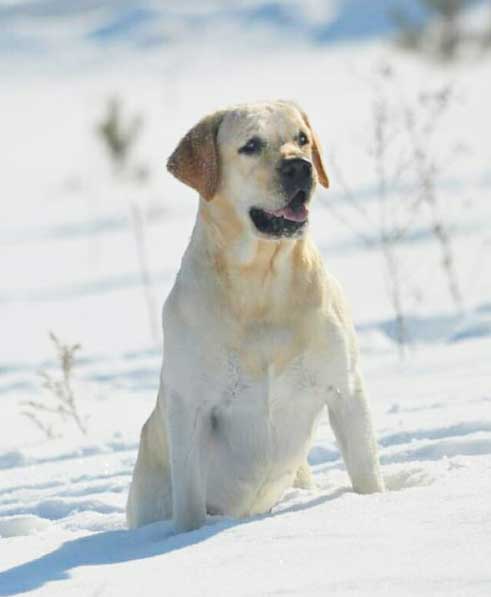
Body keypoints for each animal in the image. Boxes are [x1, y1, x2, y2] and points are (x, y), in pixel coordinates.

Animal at [126, 99, 384, 532]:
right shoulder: (190, 407)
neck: (261, 284)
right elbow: (190, 504)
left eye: (302, 138)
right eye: (250, 145)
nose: (300, 167)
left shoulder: (345, 389)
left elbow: (366, 474)